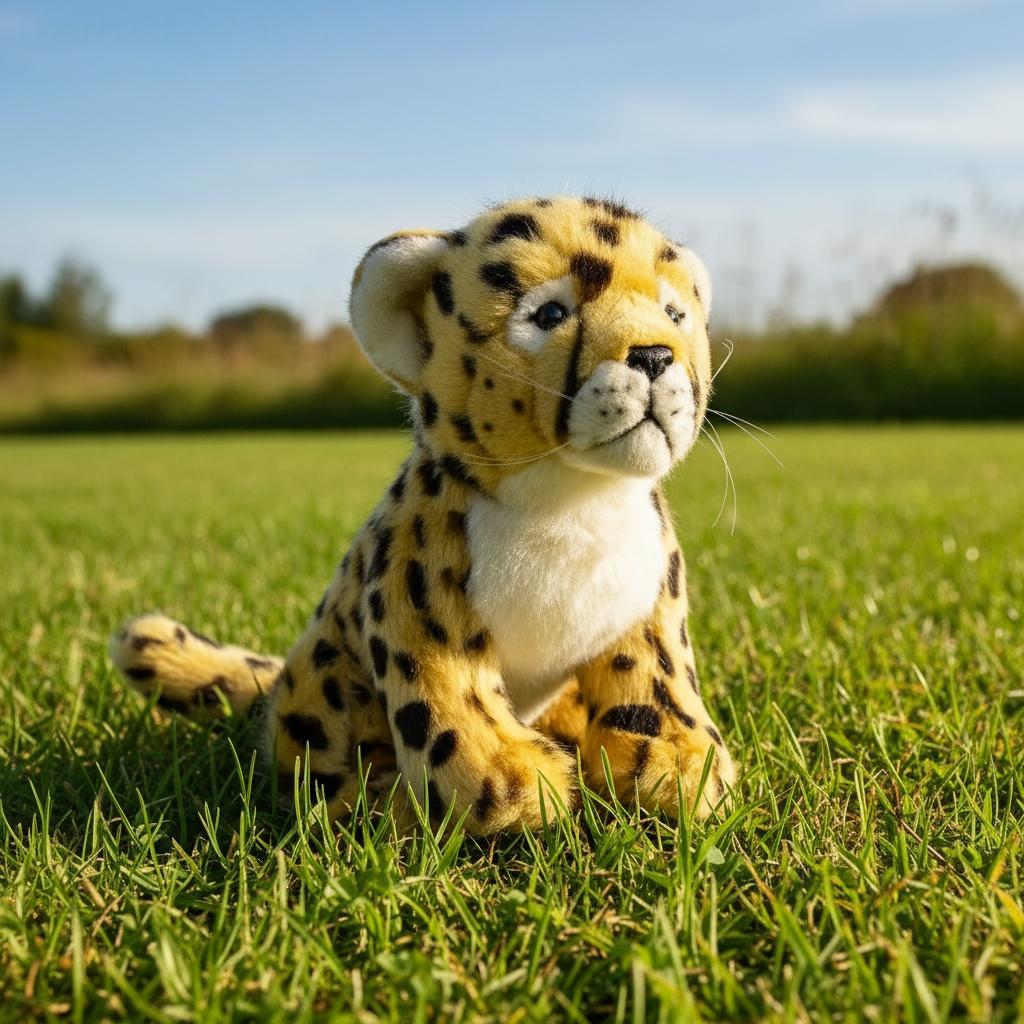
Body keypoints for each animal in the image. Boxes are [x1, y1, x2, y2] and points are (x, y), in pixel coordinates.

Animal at [110, 194, 737, 834]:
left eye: (674, 312)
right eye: (549, 314)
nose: (655, 354)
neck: (573, 500)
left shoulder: (649, 605)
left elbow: (655, 681)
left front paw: (675, 767)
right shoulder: (419, 603)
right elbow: (451, 699)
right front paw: (510, 783)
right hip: (325, 684)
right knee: (321, 777)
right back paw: (385, 809)